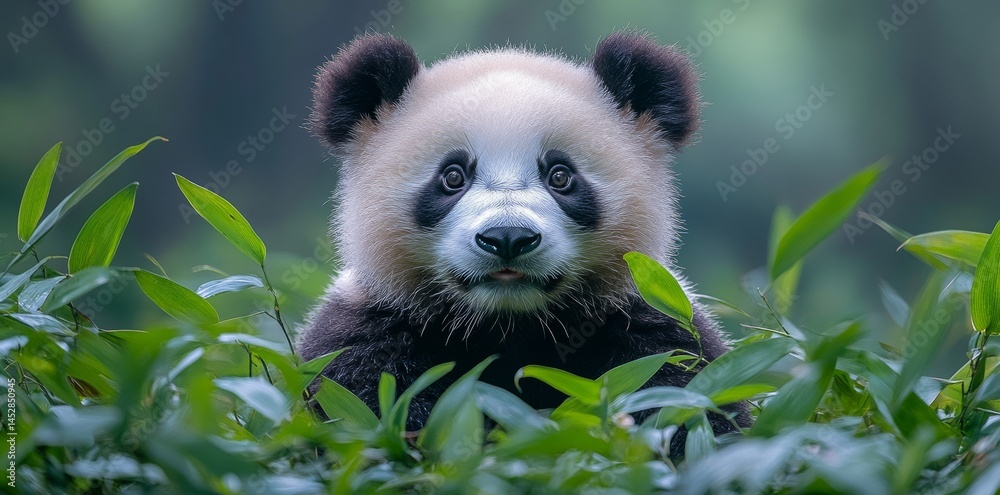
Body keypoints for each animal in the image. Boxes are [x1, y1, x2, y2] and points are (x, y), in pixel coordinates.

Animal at [298, 30, 749, 453]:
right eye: (453, 176)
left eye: (560, 176)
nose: (508, 238)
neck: (508, 325)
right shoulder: (367, 332)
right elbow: (367, 405)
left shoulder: (648, 326)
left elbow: (688, 406)